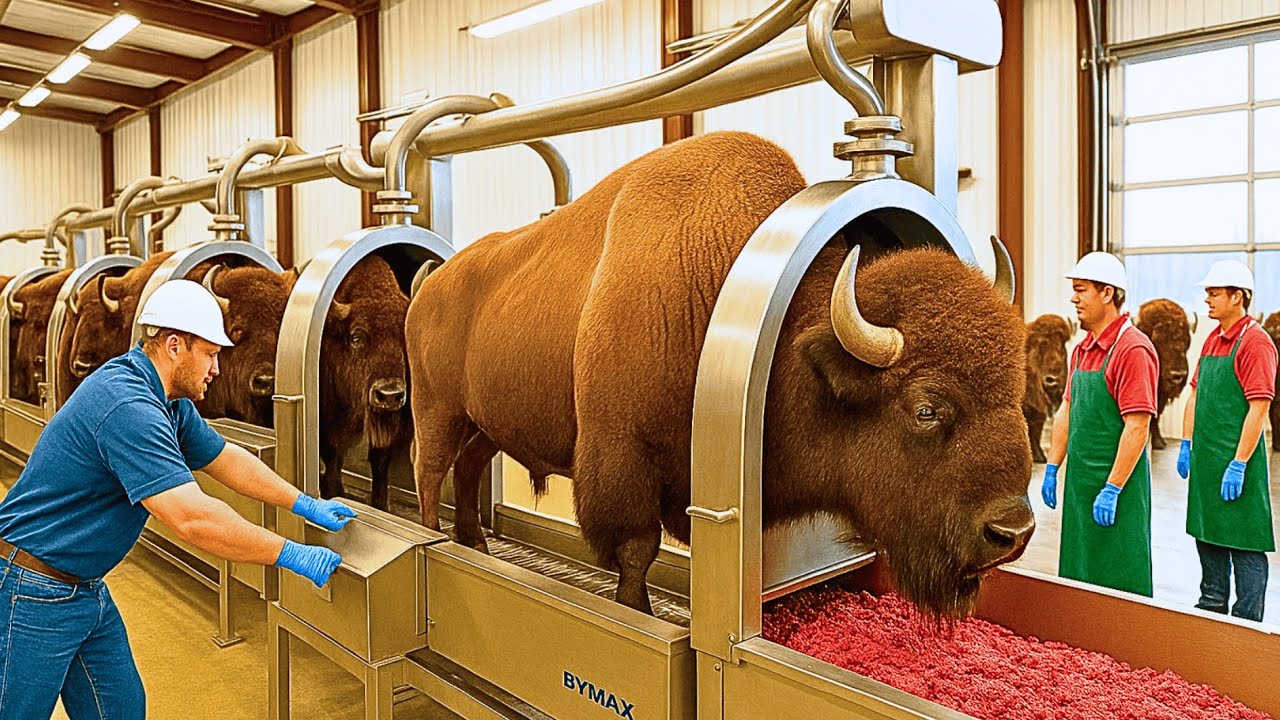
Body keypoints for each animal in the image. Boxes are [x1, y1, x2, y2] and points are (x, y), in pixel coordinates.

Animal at [407, 131, 1034, 617]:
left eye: (1017, 392)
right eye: (926, 407)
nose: (1013, 532)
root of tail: (431, 284)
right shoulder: (621, 457)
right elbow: (636, 551)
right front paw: (636, 609)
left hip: (484, 424)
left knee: (467, 469)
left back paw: (473, 543)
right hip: (437, 411)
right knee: (430, 471)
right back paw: (433, 537)